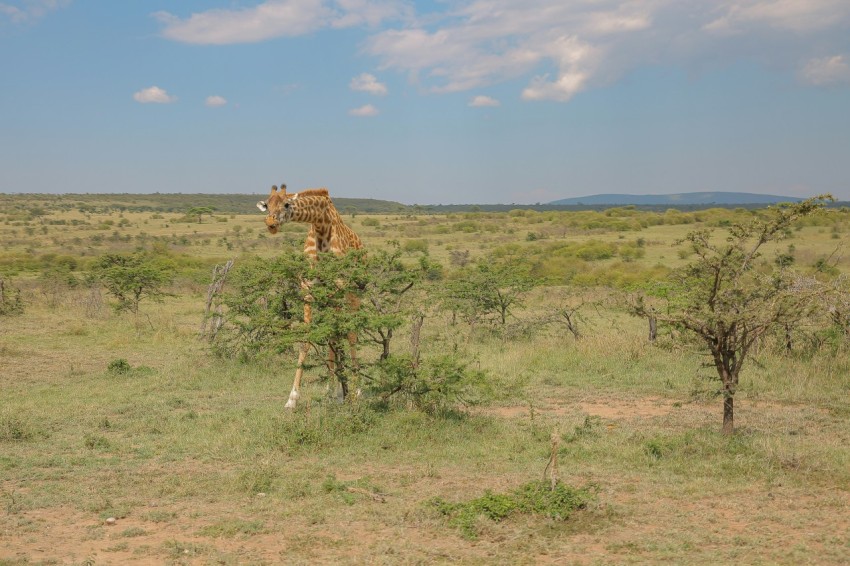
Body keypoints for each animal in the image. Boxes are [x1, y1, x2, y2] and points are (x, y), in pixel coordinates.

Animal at [257, 184, 363, 409]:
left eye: (287, 204)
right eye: (267, 205)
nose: (271, 223)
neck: (322, 225)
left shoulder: (339, 287)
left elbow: (340, 336)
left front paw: (348, 392)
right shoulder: (308, 289)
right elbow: (307, 339)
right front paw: (292, 398)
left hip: (354, 293)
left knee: (351, 334)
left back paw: (356, 391)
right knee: (334, 336)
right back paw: (333, 391)